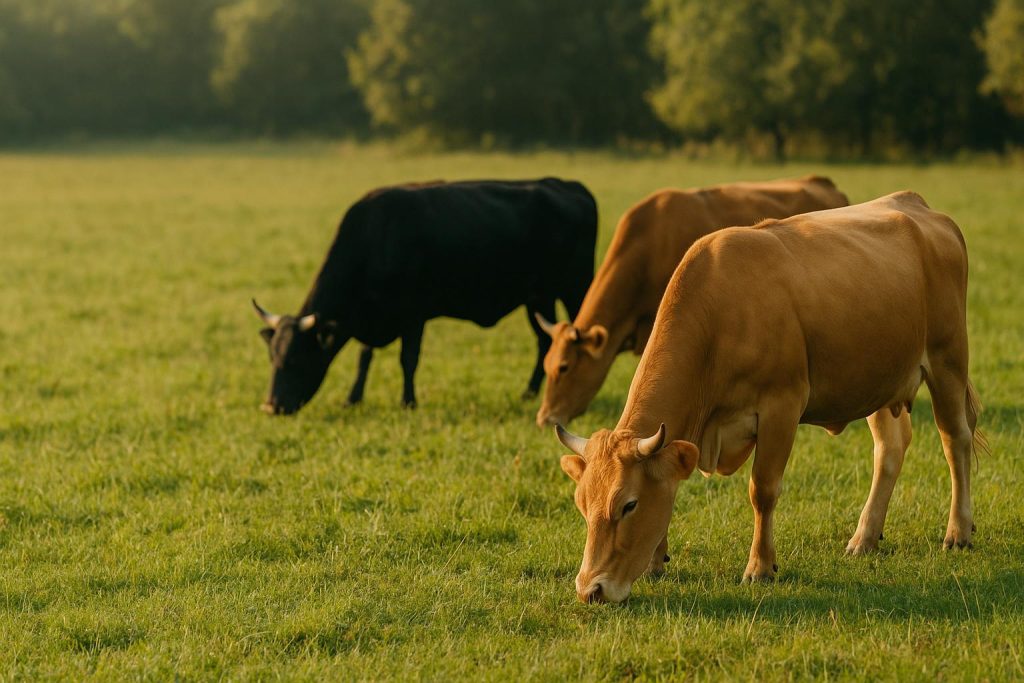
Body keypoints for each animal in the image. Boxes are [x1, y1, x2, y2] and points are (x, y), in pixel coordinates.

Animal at [252, 178, 597, 415]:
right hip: (539, 298)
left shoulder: (413, 315)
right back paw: (529, 393)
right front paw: (353, 399)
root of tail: (568, 185)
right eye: (272, 357)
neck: (376, 237)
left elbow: (408, 359)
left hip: (576, 288)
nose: (271, 406)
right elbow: (364, 358)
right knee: (545, 341)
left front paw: (408, 401)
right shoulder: (370, 316)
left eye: (295, 359)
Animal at [553, 191, 985, 603]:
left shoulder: (782, 406)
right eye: (583, 506)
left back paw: (958, 530)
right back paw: (865, 537)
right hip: (878, 380)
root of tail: (918, 206)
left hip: (947, 359)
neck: (720, 312)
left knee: (955, 439)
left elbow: (762, 490)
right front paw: (655, 561)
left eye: (628, 505)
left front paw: (760, 567)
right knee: (890, 449)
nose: (591, 590)